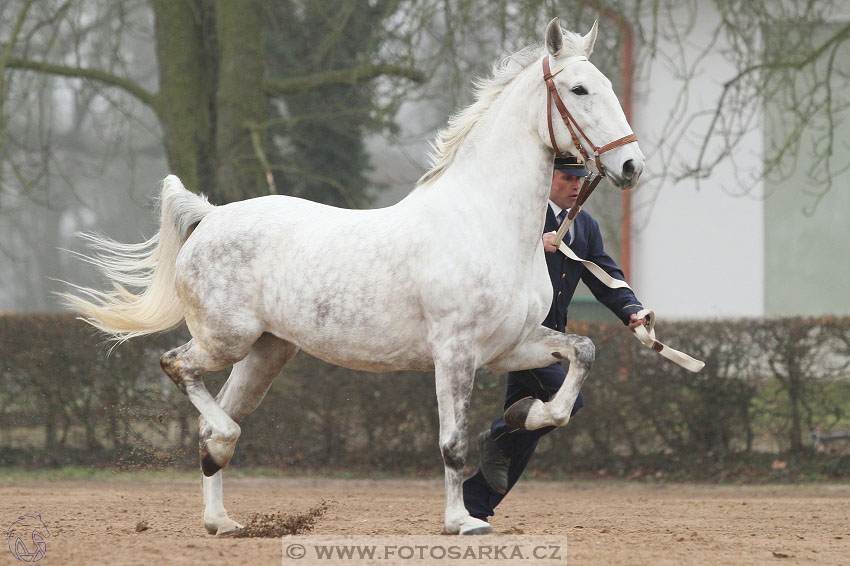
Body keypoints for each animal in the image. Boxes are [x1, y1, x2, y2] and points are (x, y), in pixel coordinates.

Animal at [61, 18, 644, 536]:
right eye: (578, 88)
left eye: (609, 86)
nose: (632, 167)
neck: (488, 222)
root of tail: (210, 217)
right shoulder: (455, 353)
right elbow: (452, 443)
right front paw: (462, 522)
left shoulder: (510, 346)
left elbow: (580, 357)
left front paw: (527, 413)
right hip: (226, 340)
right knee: (178, 368)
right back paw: (222, 458)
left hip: (267, 352)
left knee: (211, 417)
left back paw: (221, 519)